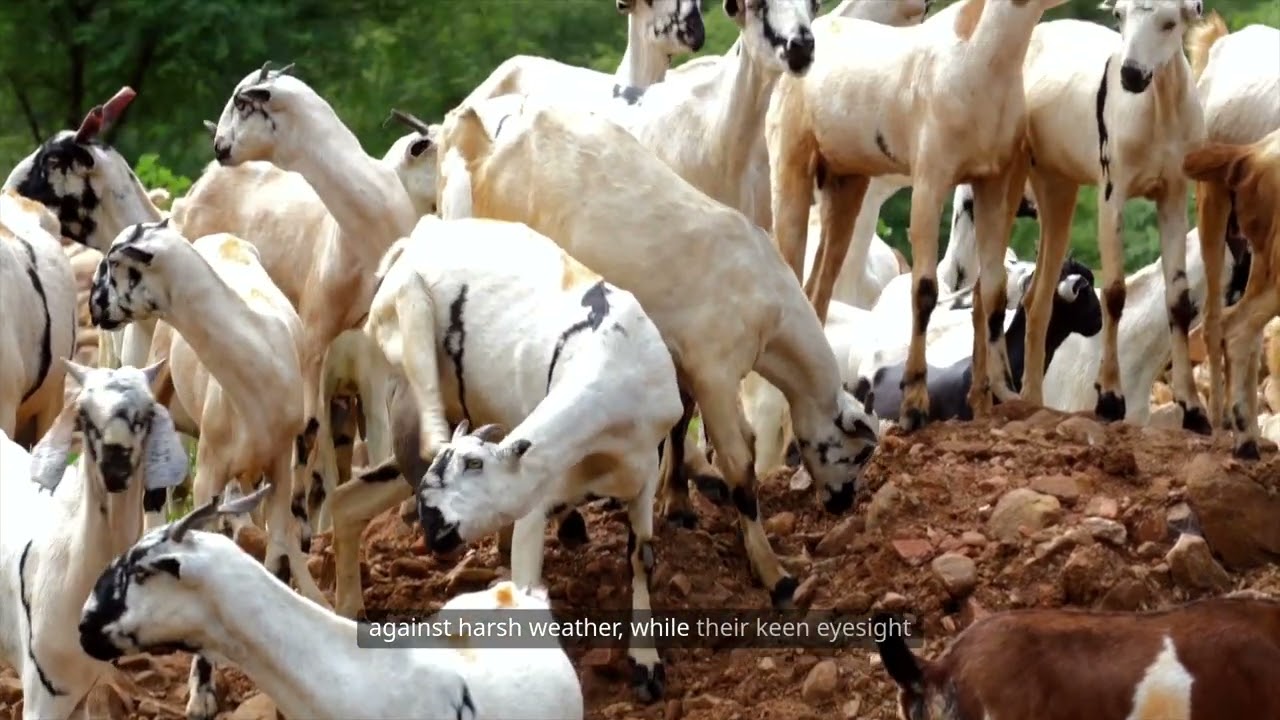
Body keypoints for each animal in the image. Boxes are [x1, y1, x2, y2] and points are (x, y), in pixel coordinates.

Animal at [88, 220, 328, 719]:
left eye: (114, 264)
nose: (93, 306)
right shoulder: (209, 476)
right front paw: (201, 693)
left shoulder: (281, 464)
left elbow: (278, 546)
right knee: (154, 502)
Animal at [350, 216, 681, 699]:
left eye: (474, 466)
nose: (432, 526)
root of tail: (417, 238)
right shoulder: (540, 490)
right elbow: (525, 579)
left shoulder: (644, 473)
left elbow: (642, 558)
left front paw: (646, 661)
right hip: (406, 313)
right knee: (429, 428)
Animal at [433, 95, 879, 609]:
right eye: (858, 454)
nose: (842, 503)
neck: (768, 304)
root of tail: (483, 148)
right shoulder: (715, 372)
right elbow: (740, 466)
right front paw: (773, 572)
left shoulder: (680, 359)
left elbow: (680, 424)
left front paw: (678, 502)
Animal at [767, 0, 1066, 431]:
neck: (975, 59)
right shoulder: (929, 182)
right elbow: (925, 290)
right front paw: (913, 406)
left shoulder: (994, 183)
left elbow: (993, 291)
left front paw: (999, 398)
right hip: (790, 172)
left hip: (846, 188)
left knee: (817, 296)